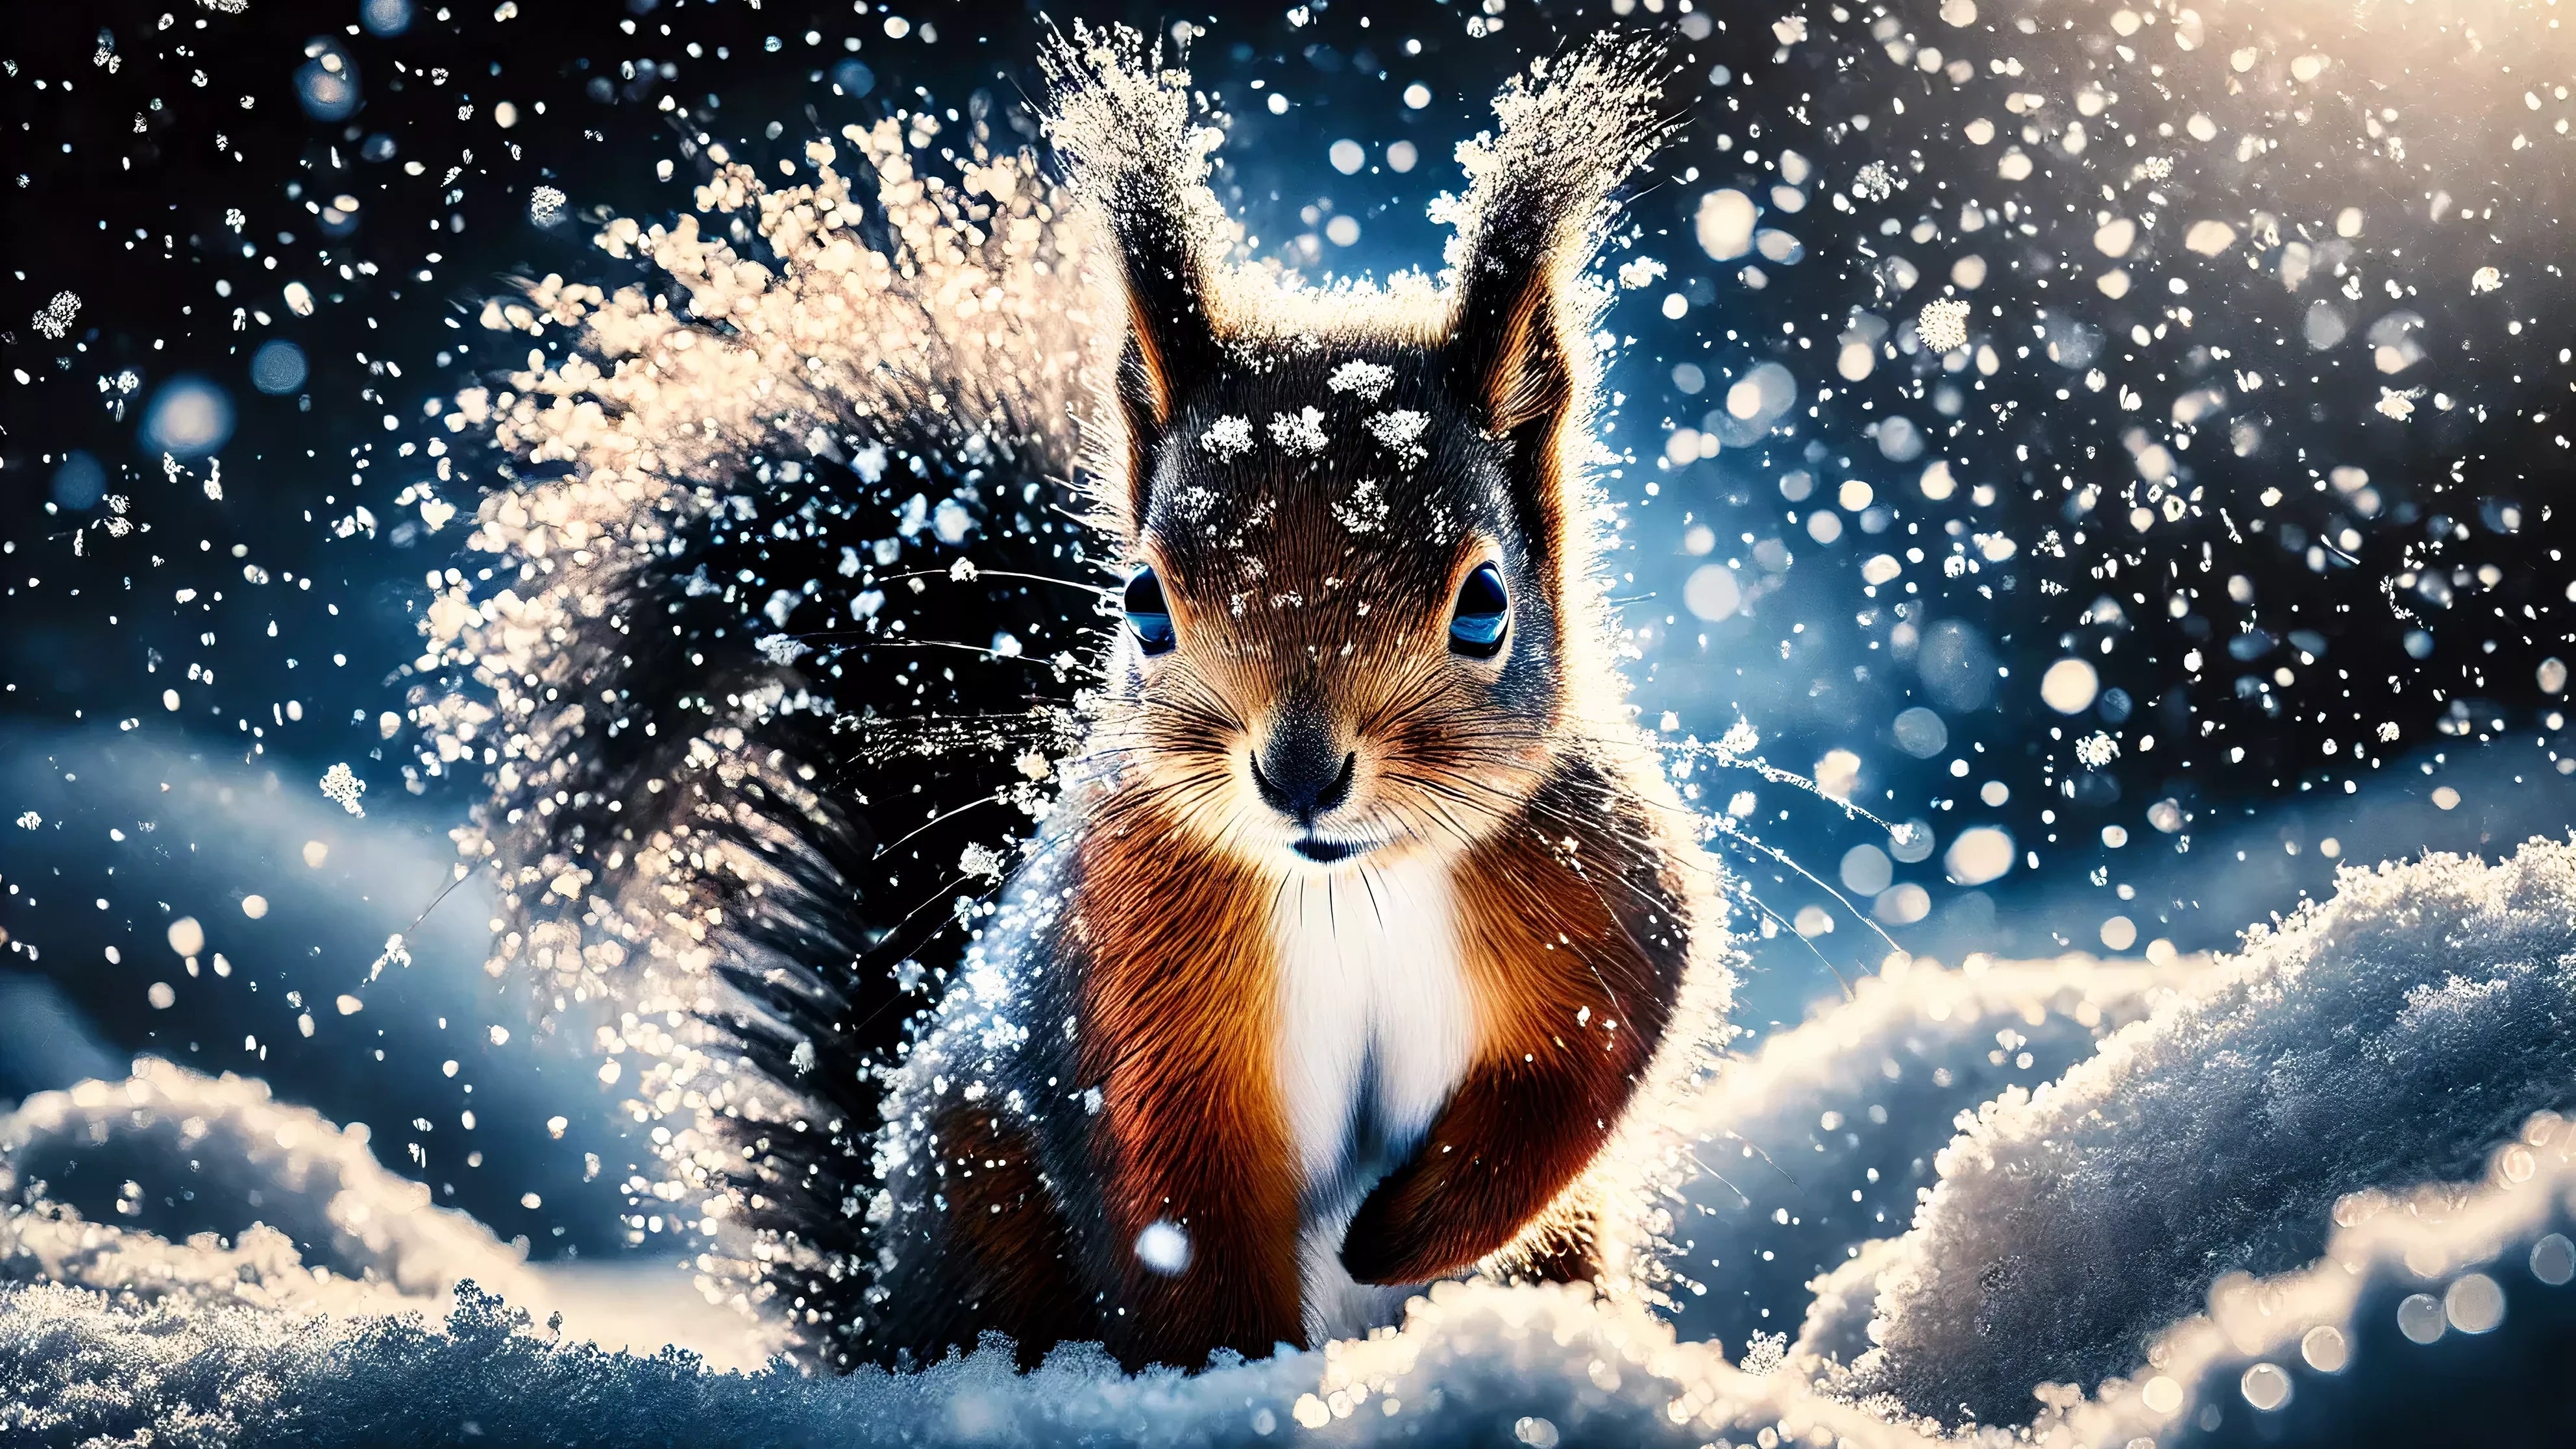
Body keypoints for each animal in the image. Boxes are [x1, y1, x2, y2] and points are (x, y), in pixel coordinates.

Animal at [423, 26, 1733, 1375]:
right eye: (1143, 602)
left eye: (1483, 605)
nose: (1298, 778)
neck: (1350, 885)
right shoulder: (1129, 969)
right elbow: (1175, 1214)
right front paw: (1243, 1383)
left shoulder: (1593, 885)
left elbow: (1593, 1054)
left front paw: (1399, 1239)